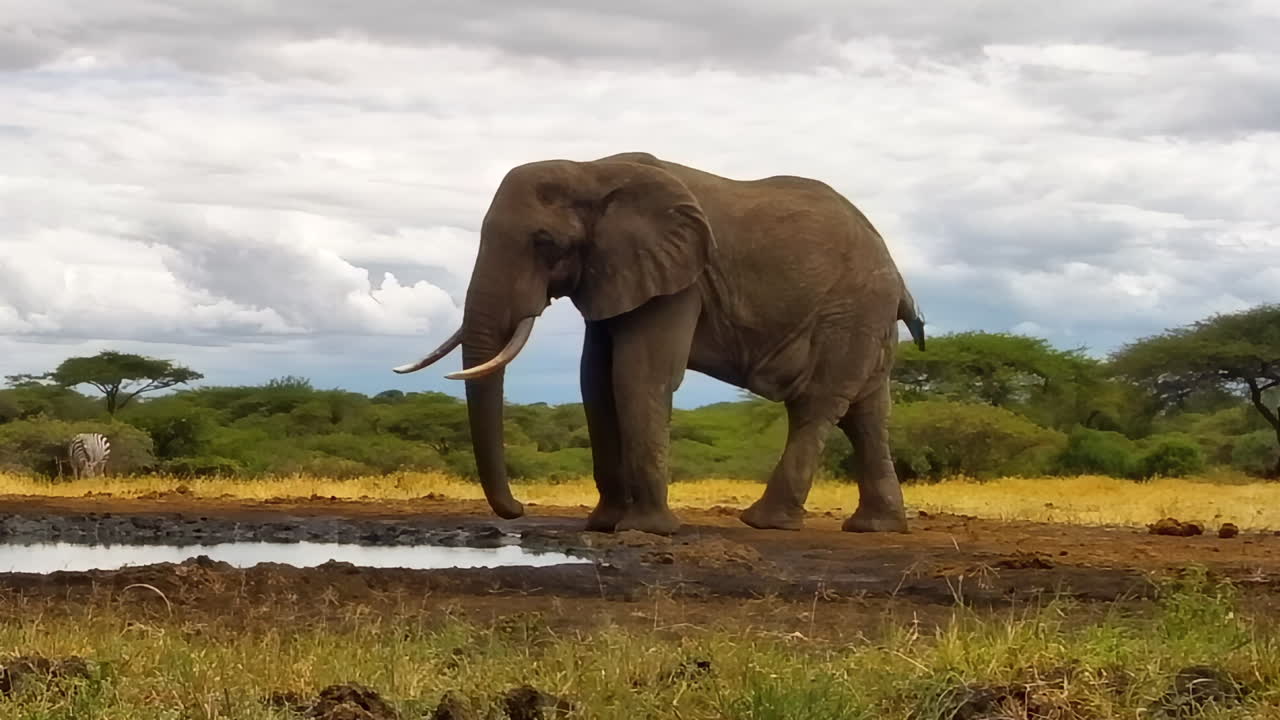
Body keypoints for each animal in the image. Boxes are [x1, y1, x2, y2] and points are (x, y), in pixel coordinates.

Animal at [392, 151, 926, 536]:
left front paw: (647, 531)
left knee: (816, 406)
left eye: (544, 242)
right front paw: (604, 525)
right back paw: (875, 528)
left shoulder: (680, 279)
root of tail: (896, 274)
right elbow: (595, 382)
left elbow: (638, 375)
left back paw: (765, 522)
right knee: (867, 414)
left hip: (850, 311)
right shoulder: (614, 274)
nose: (519, 509)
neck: (592, 169)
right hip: (866, 321)